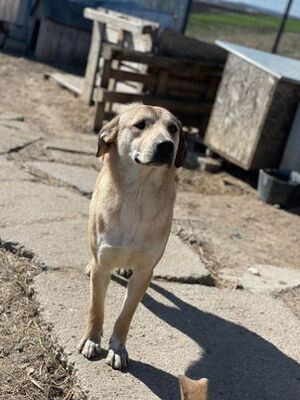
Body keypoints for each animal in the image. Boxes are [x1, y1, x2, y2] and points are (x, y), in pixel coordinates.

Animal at [78, 104, 185, 370]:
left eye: (173, 129)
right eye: (140, 125)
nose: (166, 145)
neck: (138, 195)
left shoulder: (144, 273)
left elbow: (125, 316)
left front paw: (117, 348)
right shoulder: (103, 267)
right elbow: (96, 307)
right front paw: (92, 340)